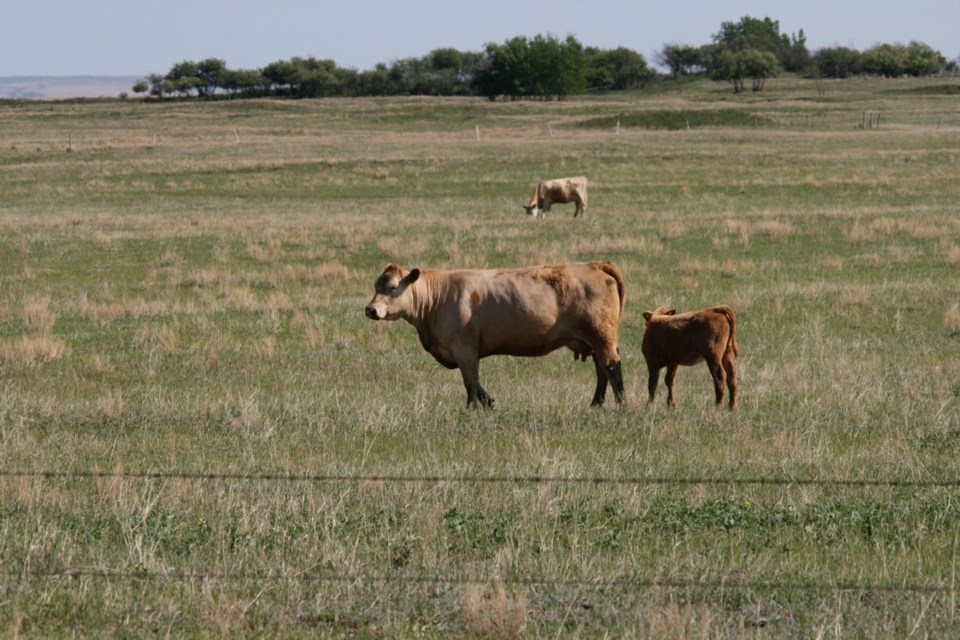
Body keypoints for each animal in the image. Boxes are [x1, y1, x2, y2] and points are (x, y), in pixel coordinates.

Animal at [364, 262, 628, 408]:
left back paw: (621, 405)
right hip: (595, 340)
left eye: (392, 287)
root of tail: (595, 265)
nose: (370, 309)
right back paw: (595, 404)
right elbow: (476, 383)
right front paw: (489, 403)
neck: (439, 297)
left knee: (612, 367)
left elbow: (471, 382)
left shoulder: (464, 348)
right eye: (376, 286)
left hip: (601, 335)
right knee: (602, 370)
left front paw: (471, 410)